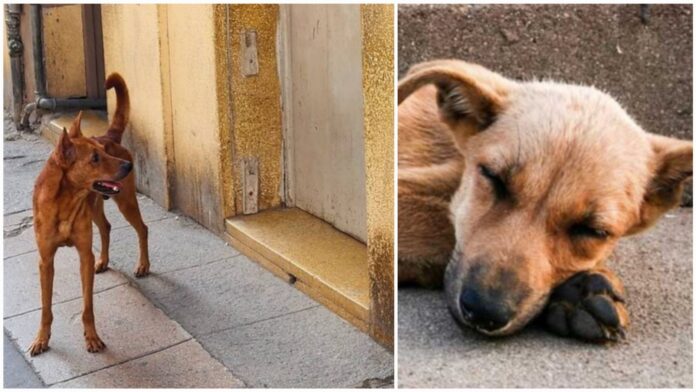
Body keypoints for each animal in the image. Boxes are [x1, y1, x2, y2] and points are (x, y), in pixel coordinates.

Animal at [30, 73, 151, 356]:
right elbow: (45, 307)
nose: (128, 166)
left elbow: (88, 305)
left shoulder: (84, 254)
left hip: (125, 201)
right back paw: (104, 261)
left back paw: (143, 265)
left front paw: (92, 338)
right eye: (95, 158)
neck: (65, 202)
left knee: (142, 228)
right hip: (95, 207)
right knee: (106, 227)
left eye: (102, 152)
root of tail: (109, 135)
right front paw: (42, 339)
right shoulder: (45, 260)